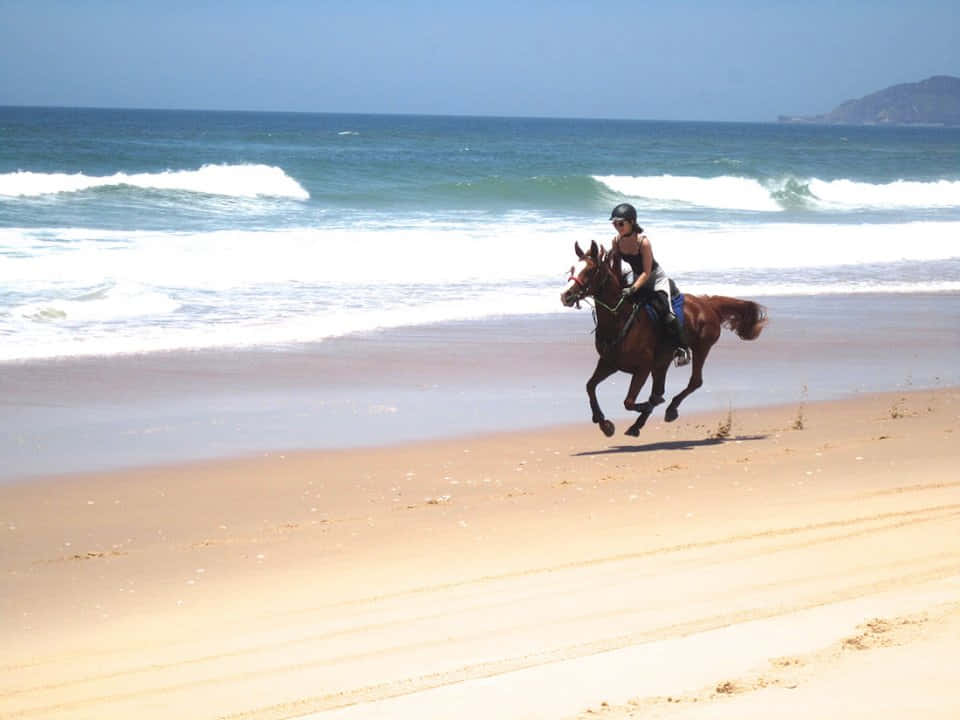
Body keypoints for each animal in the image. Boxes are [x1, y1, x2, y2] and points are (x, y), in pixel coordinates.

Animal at [560, 240, 767, 437]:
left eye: (589, 270)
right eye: (572, 269)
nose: (566, 296)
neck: (620, 319)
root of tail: (707, 303)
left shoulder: (642, 368)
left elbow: (629, 401)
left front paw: (640, 409)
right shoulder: (609, 363)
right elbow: (590, 386)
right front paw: (604, 424)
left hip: (701, 348)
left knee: (694, 382)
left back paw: (670, 409)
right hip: (663, 361)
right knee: (661, 389)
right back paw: (637, 425)